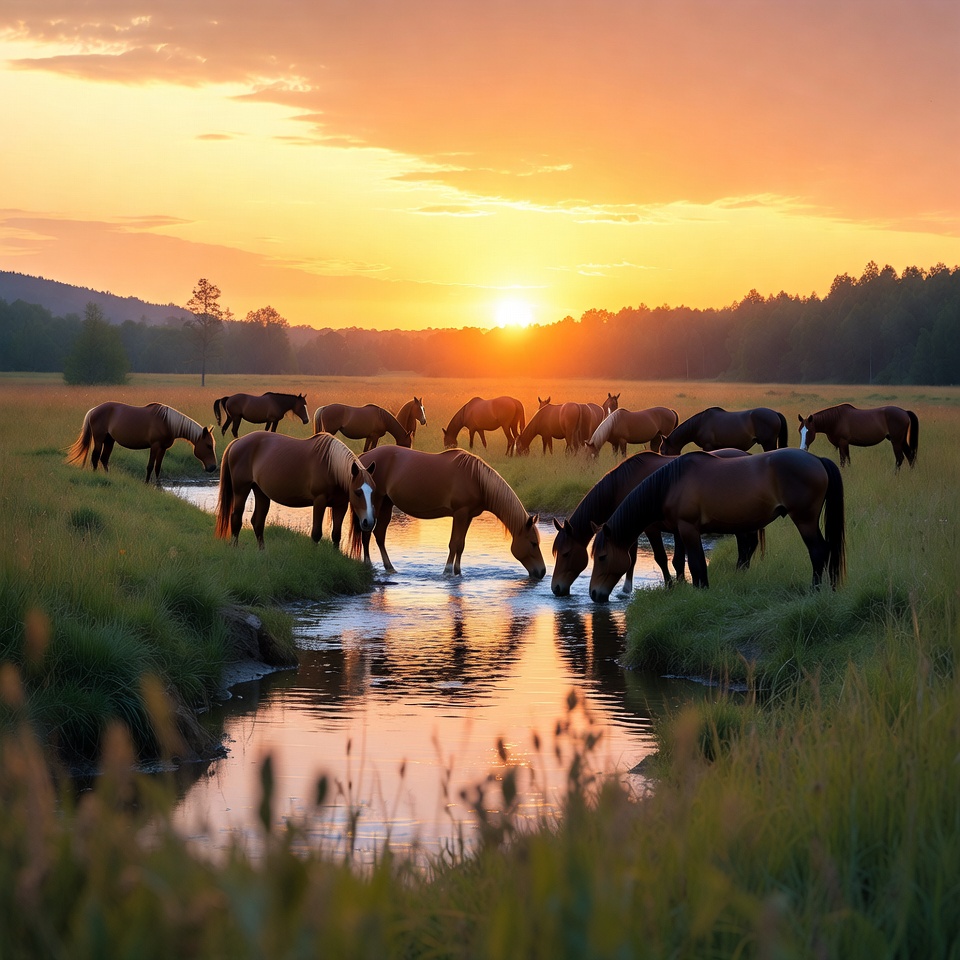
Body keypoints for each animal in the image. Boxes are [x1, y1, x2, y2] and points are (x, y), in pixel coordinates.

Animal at [66, 401, 218, 483]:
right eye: (208, 446)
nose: (213, 467)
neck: (167, 422)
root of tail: (93, 410)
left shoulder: (163, 448)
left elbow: (158, 467)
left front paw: (158, 484)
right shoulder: (155, 446)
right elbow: (150, 466)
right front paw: (146, 483)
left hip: (109, 440)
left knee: (104, 459)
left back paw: (107, 476)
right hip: (99, 439)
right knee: (95, 457)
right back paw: (95, 475)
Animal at [214, 431, 377, 552]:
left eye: (373, 492)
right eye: (357, 492)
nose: (368, 522)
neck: (331, 467)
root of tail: (238, 441)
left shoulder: (341, 505)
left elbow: (336, 535)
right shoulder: (319, 501)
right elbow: (316, 533)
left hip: (261, 492)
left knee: (258, 522)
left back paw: (262, 552)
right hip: (241, 490)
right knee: (236, 518)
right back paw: (235, 549)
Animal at [352, 445, 546, 579]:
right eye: (533, 543)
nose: (542, 572)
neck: (476, 479)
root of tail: (364, 459)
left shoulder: (468, 516)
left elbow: (461, 545)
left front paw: (458, 572)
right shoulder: (460, 514)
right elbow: (454, 544)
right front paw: (447, 572)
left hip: (386, 504)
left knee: (379, 535)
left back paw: (390, 568)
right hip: (375, 503)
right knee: (367, 533)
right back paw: (369, 565)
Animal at [551, 449, 759, 596]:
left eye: (566, 553)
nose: (556, 588)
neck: (624, 483)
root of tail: (746, 454)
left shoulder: (648, 528)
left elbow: (659, 557)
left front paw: (668, 586)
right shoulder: (627, 528)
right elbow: (637, 557)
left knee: (747, 545)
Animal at [588, 448, 845, 601]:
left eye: (602, 557)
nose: (593, 594)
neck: (670, 483)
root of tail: (817, 460)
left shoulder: (689, 529)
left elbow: (697, 565)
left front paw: (700, 593)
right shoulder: (680, 530)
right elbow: (685, 563)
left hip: (804, 519)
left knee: (818, 550)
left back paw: (815, 591)